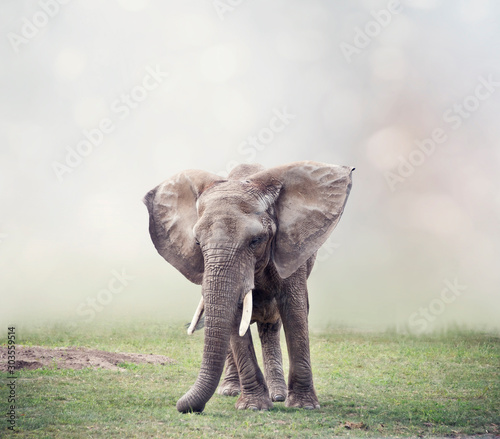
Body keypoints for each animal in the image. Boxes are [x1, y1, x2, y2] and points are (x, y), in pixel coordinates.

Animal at [144, 161, 356, 412]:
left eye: (256, 241)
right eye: (197, 242)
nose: (182, 406)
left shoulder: (289, 246)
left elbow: (295, 311)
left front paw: (304, 406)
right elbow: (235, 317)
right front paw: (253, 407)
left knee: (271, 325)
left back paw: (278, 395)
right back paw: (230, 390)